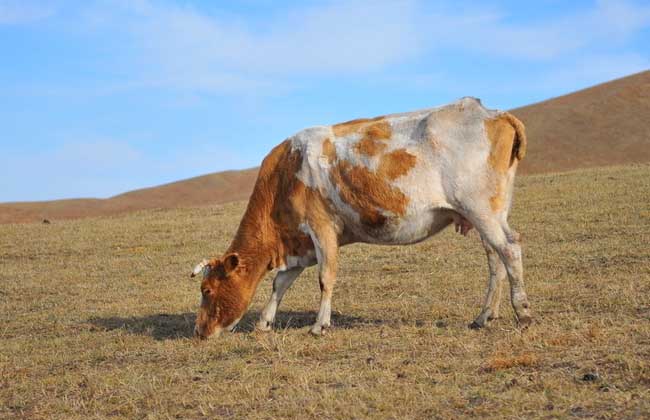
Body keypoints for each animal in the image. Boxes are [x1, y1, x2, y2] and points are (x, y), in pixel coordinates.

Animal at [190, 97, 528, 340]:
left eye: (207, 291)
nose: (199, 331)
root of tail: (491, 113)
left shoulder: (321, 227)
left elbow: (325, 277)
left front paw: (319, 325)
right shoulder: (300, 242)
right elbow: (280, 282)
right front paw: (264, 322)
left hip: (480, 209)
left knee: (509, 249)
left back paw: (523, 312)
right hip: (489, 213)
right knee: (495, 258)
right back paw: (484, 316)